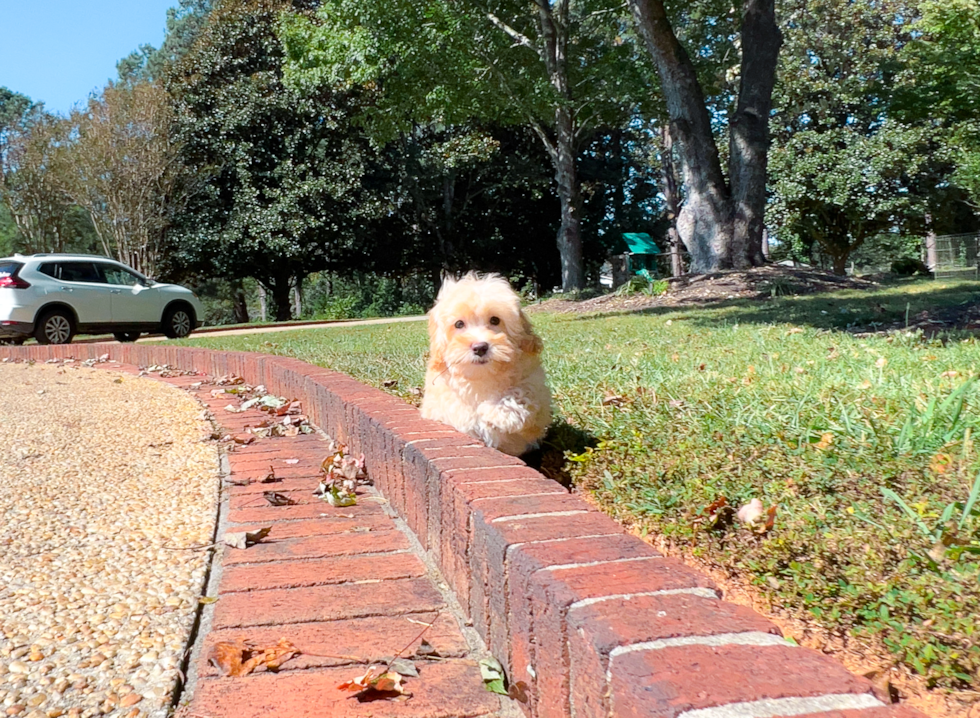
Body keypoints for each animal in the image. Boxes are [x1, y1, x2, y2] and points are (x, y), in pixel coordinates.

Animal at [418, 272, 548, 458]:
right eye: (459, 324)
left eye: (495, 320)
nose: (480, 347)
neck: (482, 375)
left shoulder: (536, 391)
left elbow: (524, 392)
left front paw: (499, 412)